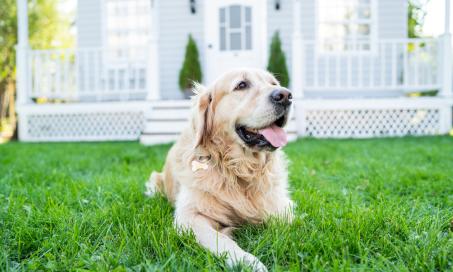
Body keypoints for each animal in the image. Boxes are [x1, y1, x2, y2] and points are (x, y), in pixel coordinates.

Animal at [145, 69, 294, 270]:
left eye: (273, 83)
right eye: (241, 85)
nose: (285, 95)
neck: (239, 168)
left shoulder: (281, 208)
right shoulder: (189, 217)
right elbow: (222, 241)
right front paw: (249, 262)